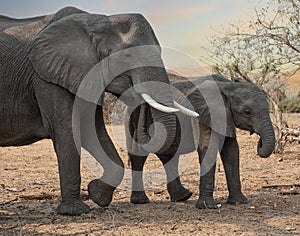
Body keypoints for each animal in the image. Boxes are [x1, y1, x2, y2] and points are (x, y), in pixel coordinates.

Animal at [0, 6, 197, 216]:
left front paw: (96, 194)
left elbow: (92, 131)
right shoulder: (47, 77)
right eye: (127, 56)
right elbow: (67, 130)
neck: (97, 22)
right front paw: (75, 211)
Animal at [125, 74, 276, 209]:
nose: (260, 140)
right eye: (248, 112)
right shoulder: (202, 113)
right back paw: (141, 201)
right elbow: (208, 147)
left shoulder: (226, 116)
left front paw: (239, 202)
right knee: (139, 155)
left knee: (169, 154)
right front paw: (207, 206)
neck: (227, 85)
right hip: (133, 115)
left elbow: (231, 151)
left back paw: (182, 197)